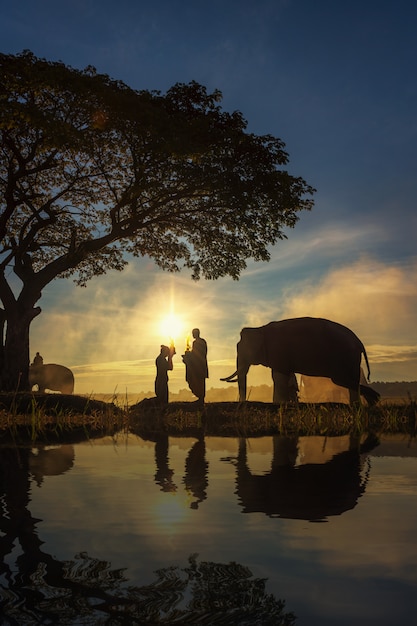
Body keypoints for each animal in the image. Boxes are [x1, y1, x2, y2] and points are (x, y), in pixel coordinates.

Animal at [221, 314, 370, 402]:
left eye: (241, 349)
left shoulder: (278, 352)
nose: (243, 402)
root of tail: (358, 342)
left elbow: (279, 378)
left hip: (347, 357)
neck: (259, 329)